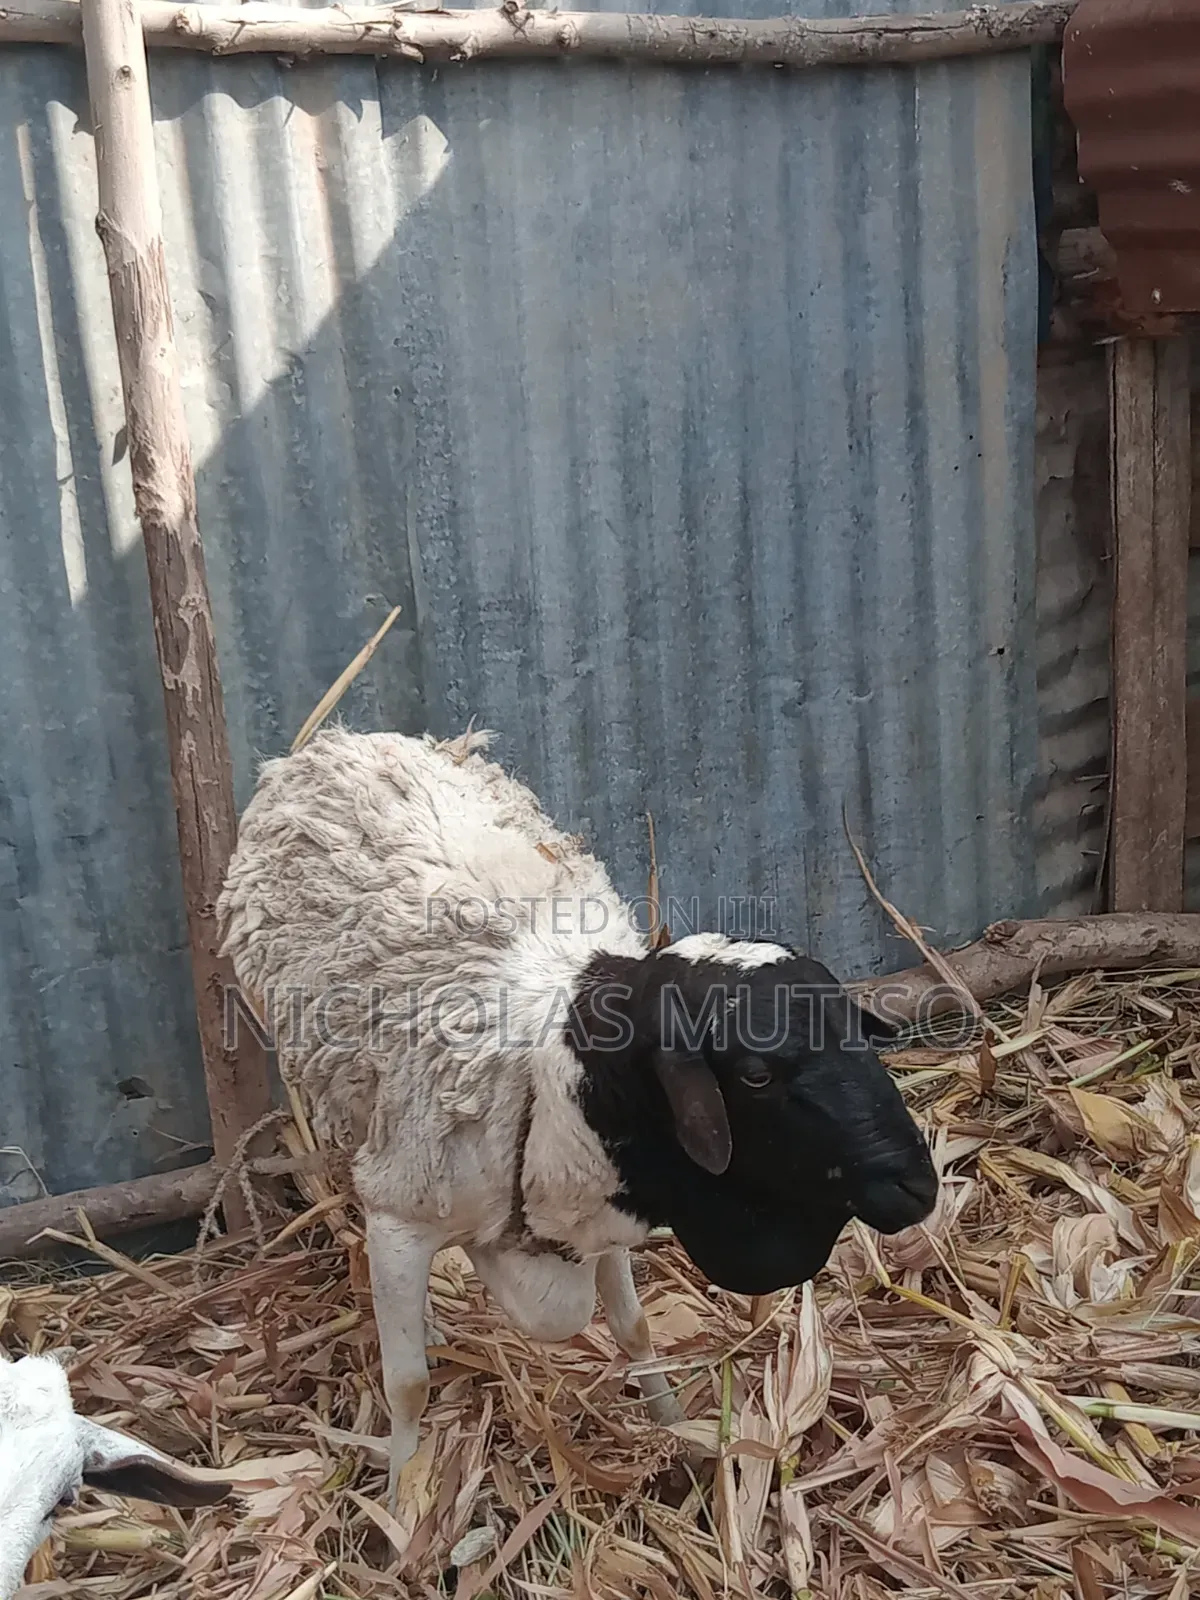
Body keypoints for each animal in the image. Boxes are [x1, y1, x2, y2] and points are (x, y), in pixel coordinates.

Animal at [218, 727, 938, 1499]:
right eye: (755, 1074)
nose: (920, 1185)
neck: (563, 1078)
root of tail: (337, 740)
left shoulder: (597, 1210)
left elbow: (633, 1330)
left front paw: (674, 1428)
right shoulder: (402, 1219)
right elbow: (407, 1385)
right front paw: (401, 1499)